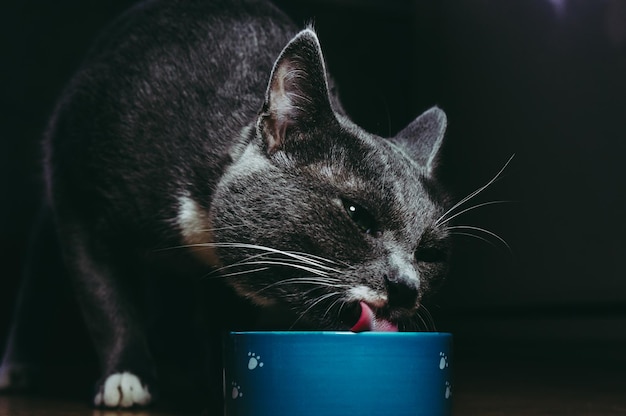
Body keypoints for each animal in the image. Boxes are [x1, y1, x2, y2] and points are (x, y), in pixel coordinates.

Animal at [0, 0, 448, 412]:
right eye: (357, 214)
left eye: (430, 253)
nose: (406, 286)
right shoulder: (75, 190)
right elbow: (103, 295)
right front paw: (125, 376)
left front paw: (220, 377)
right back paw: (19, 367)